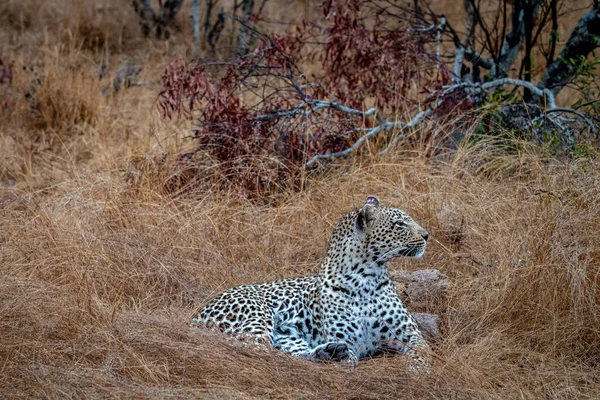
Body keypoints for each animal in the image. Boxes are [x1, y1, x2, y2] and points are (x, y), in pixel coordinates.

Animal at [192, 195, 432, 370]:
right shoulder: (349, 342)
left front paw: (416, 368)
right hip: (257, 316)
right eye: (400, 224)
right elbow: (348, 363)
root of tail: (197, 314)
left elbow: (422, 351)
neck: (365, 278)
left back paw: (327, 352)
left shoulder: (409, 333)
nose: (427, 235)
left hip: (287, 336)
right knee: (257, 349)